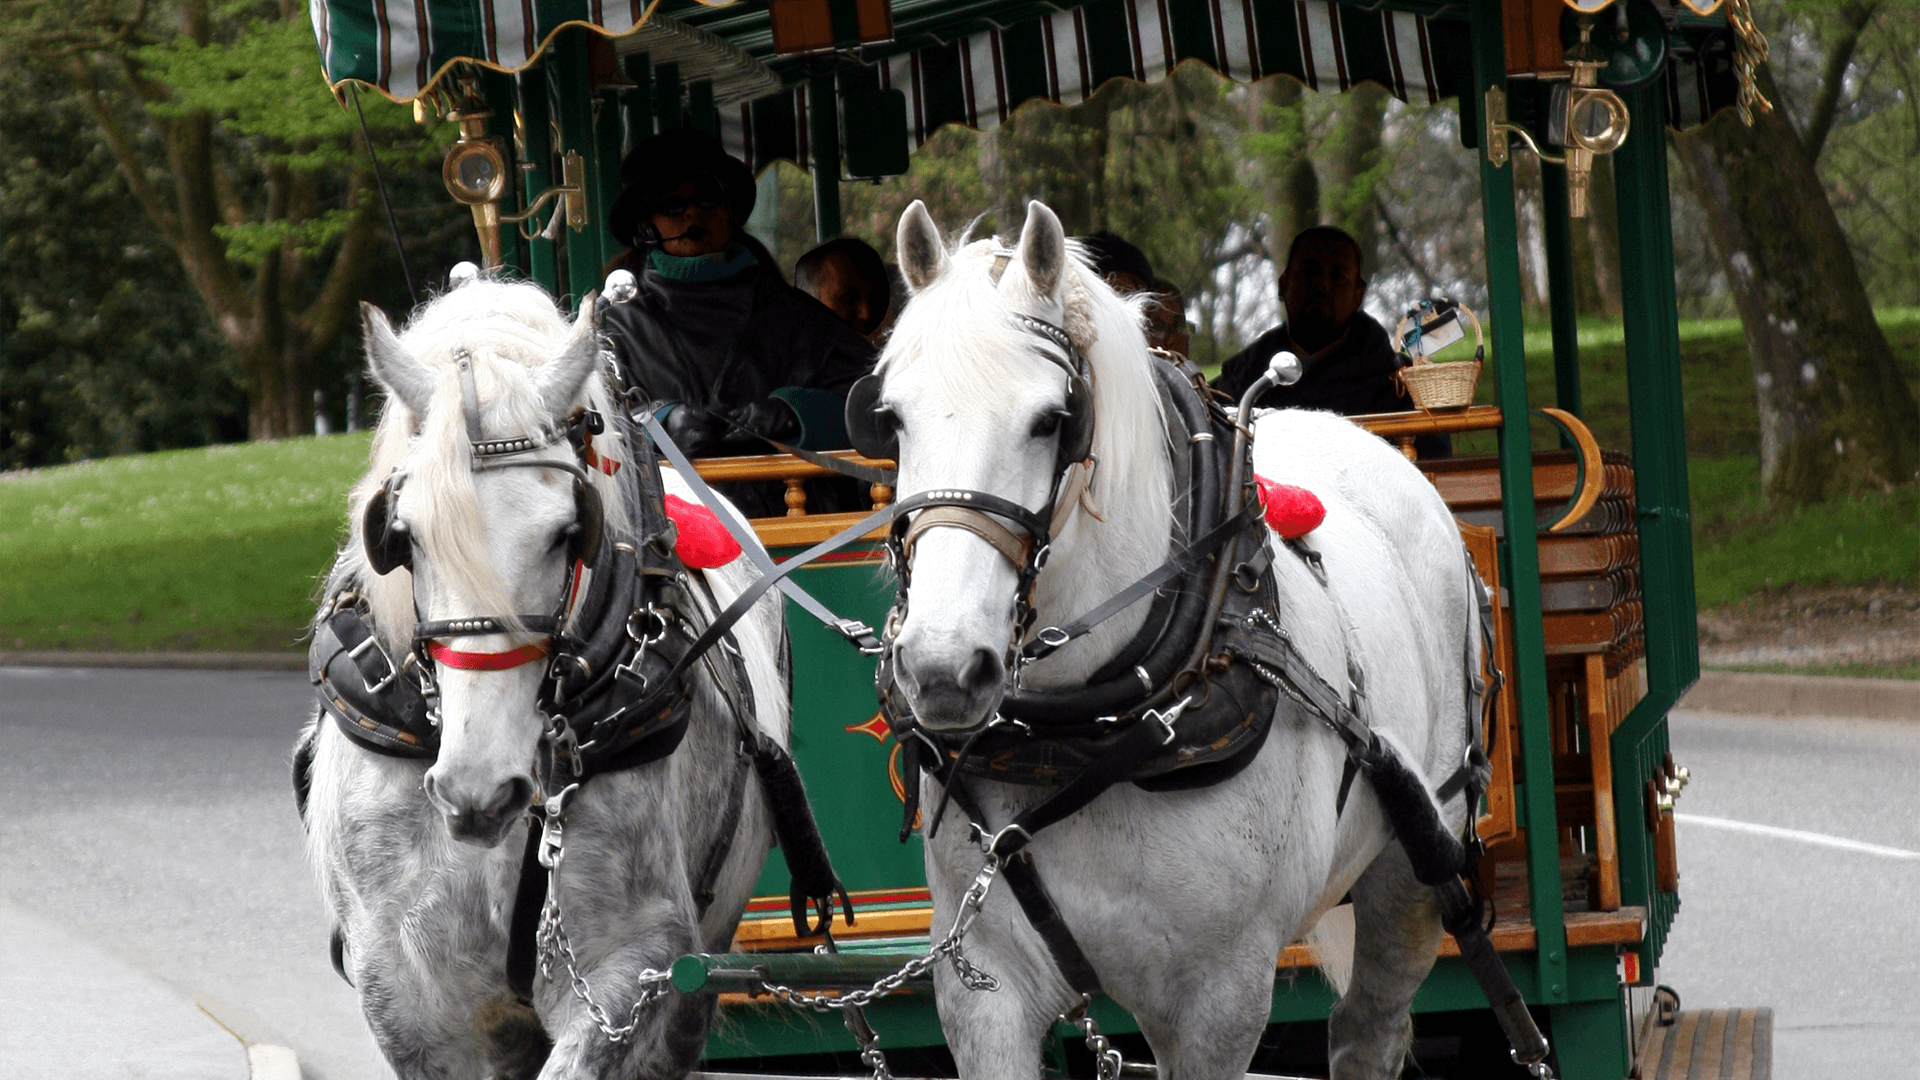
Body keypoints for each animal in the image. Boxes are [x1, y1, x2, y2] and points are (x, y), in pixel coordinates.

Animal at [869, 201, 1485, 1080]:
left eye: (1051, 421)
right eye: (891, 417)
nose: (942, 668)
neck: (1085, 733)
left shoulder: (1218, 1000)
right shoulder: (982, 988)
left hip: (1412, 868)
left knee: (1369, 1027)